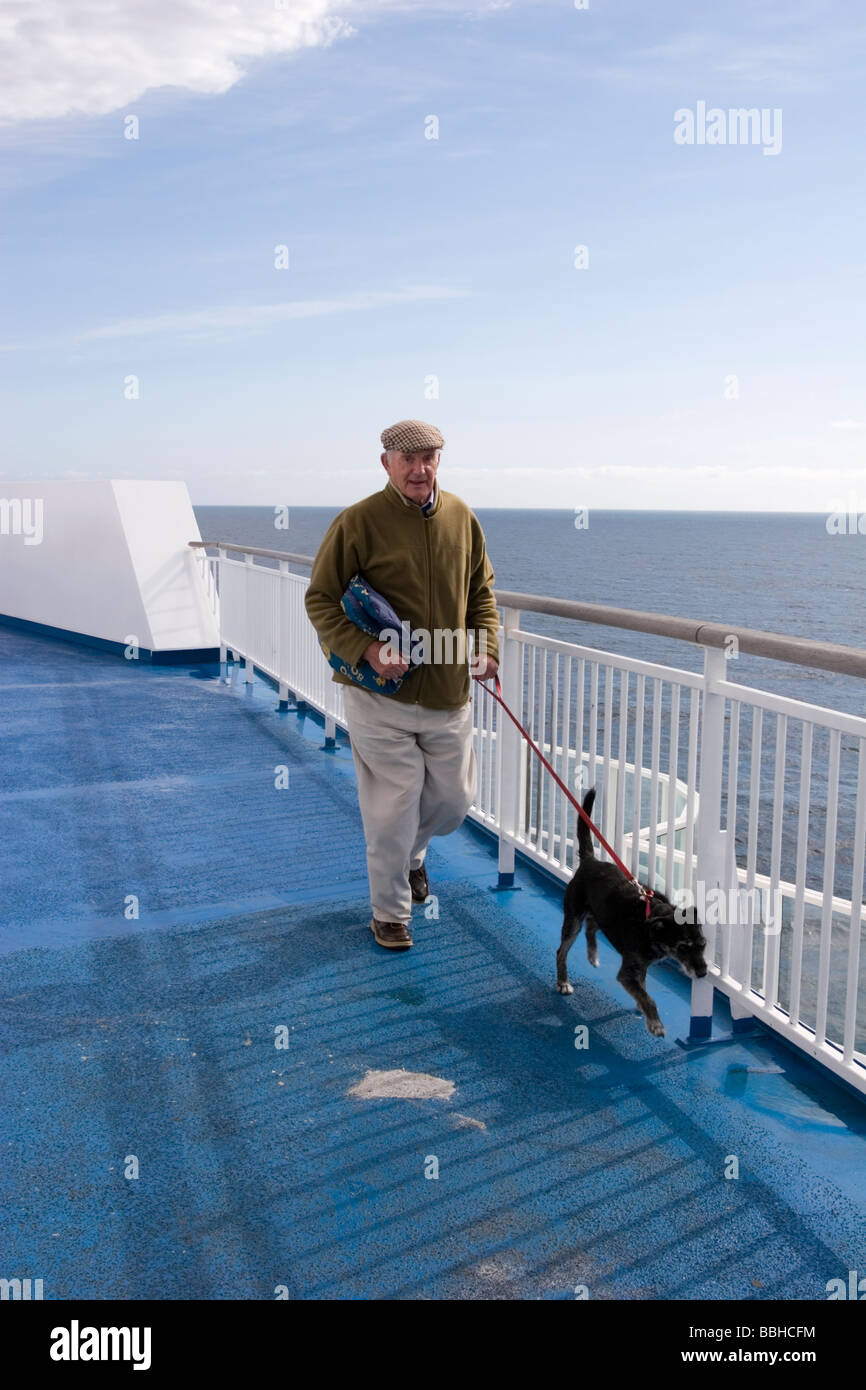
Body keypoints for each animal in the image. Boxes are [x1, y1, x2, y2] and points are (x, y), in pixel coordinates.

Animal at [558, 789, 708, 1039]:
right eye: (683, 948)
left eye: (703, 945)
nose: (703, 973)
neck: (652, 926)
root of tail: (590, 860)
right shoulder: (628, 972)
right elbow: (649, 998)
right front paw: (655, 1023)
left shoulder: (641, 966)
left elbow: (643, 989)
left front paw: (642, 1007)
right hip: (573, 919)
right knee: (562, 951)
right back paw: (563, 982)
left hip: (601, 912)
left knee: (592, 927)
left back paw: (593, 954)